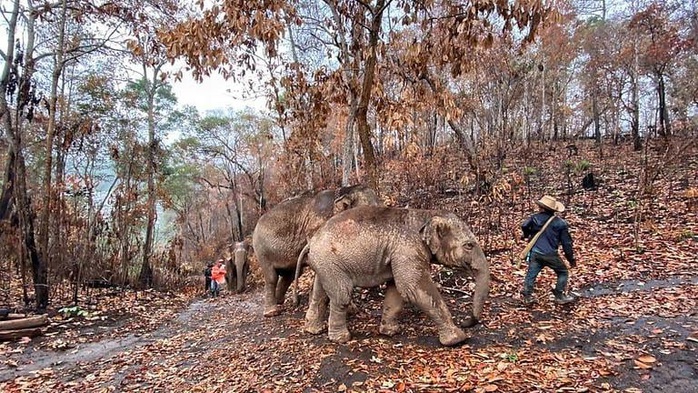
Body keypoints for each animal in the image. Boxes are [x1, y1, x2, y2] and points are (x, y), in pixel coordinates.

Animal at [251, 184, 380, 316]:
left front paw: (352, 310)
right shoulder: (317, 227)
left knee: (290, 275)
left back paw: (280, 301)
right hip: (261, 250)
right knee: (271, 276)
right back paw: (272, 312)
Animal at [296, 205, 486, 346]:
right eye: (469, 245)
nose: (466, 322)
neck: (426, 214)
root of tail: (311, 242)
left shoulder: (400, 254)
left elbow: (397, 289)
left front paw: (391, 332)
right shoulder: (408, 249)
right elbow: (413, 288)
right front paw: (458, 339)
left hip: (324, 264)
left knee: (320, 293)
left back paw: (313, 330)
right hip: (330, 262)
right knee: (341, 295)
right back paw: (342, 339)